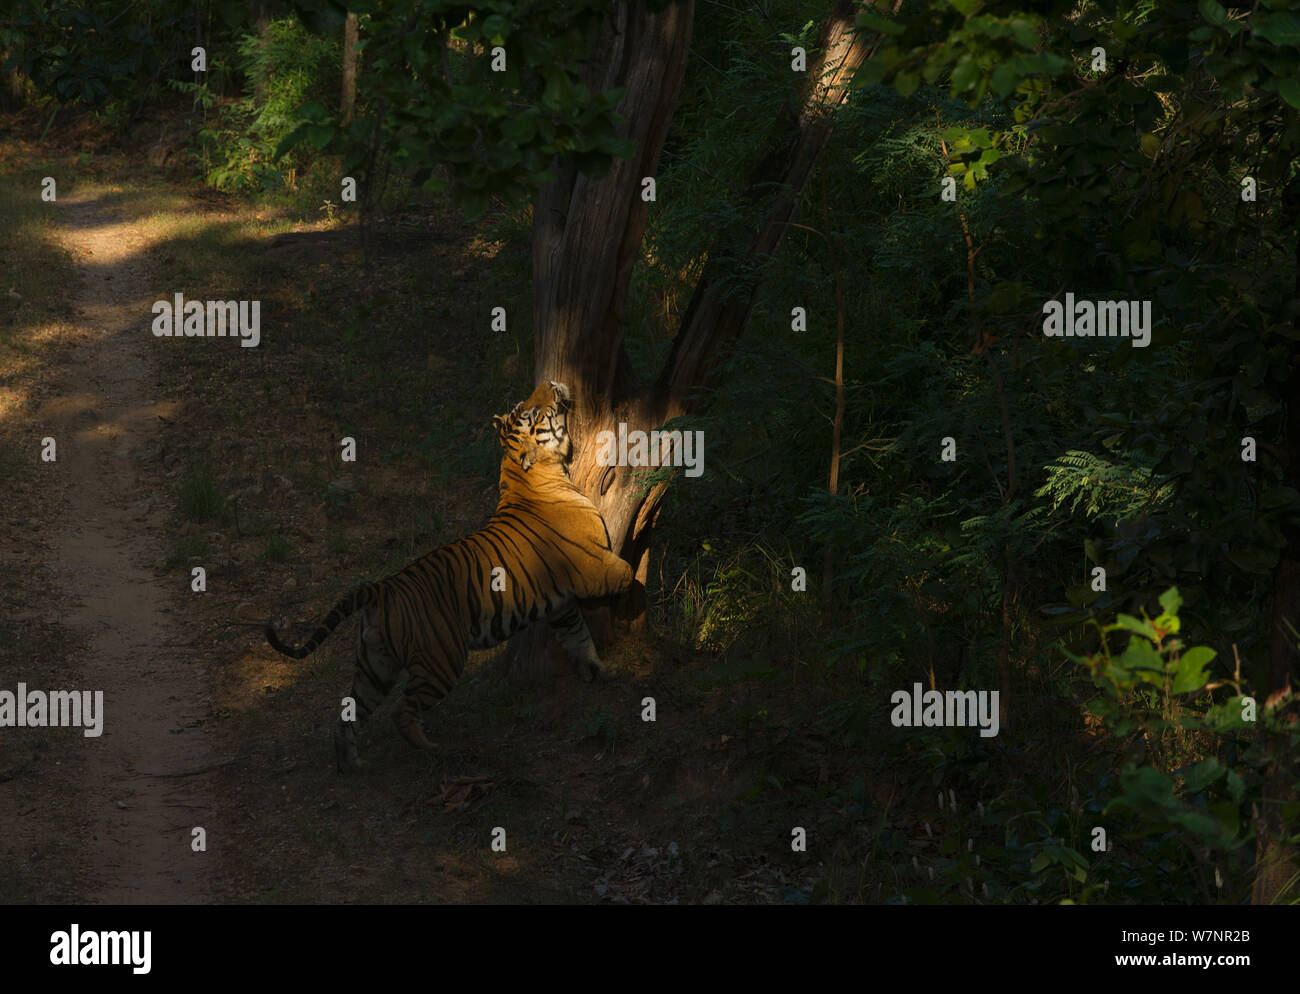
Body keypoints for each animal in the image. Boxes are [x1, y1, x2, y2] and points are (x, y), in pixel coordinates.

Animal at [265, 379, 634, 769]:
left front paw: (597, 671)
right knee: (401, 710)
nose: (549, 383)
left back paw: (352, 765)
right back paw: (430, 749)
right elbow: (627, 575)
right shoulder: (591, 567)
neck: (528, 473)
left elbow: (579, 637)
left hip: (375, 666)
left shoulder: (561, 606)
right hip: (441, 661)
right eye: (531, 411)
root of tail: (383, 587)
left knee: (348, 714)